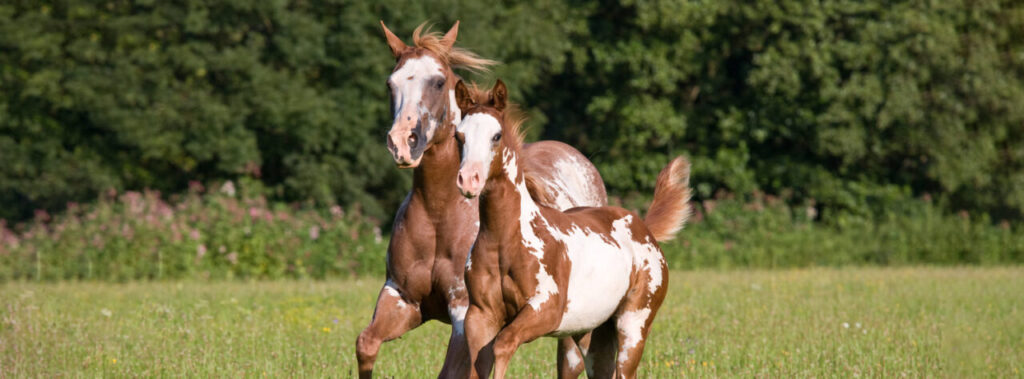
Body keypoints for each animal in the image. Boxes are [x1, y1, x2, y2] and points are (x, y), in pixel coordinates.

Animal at [356, 21, 602, 379]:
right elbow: (366, 344)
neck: (438, 213)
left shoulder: (462, 311)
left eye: (438, 81)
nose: (403, 142)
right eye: (391, 83)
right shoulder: (402, 298)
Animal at [452, 78, 692, 376]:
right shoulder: (480, 316)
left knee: (625, 370)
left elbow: (503, 345)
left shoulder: (545, 310)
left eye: (496, 136)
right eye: (458, 136)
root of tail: (644, 228)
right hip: (591, 336)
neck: (505, 240)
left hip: (633, 325)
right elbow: (478, 364)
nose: (468, 180)